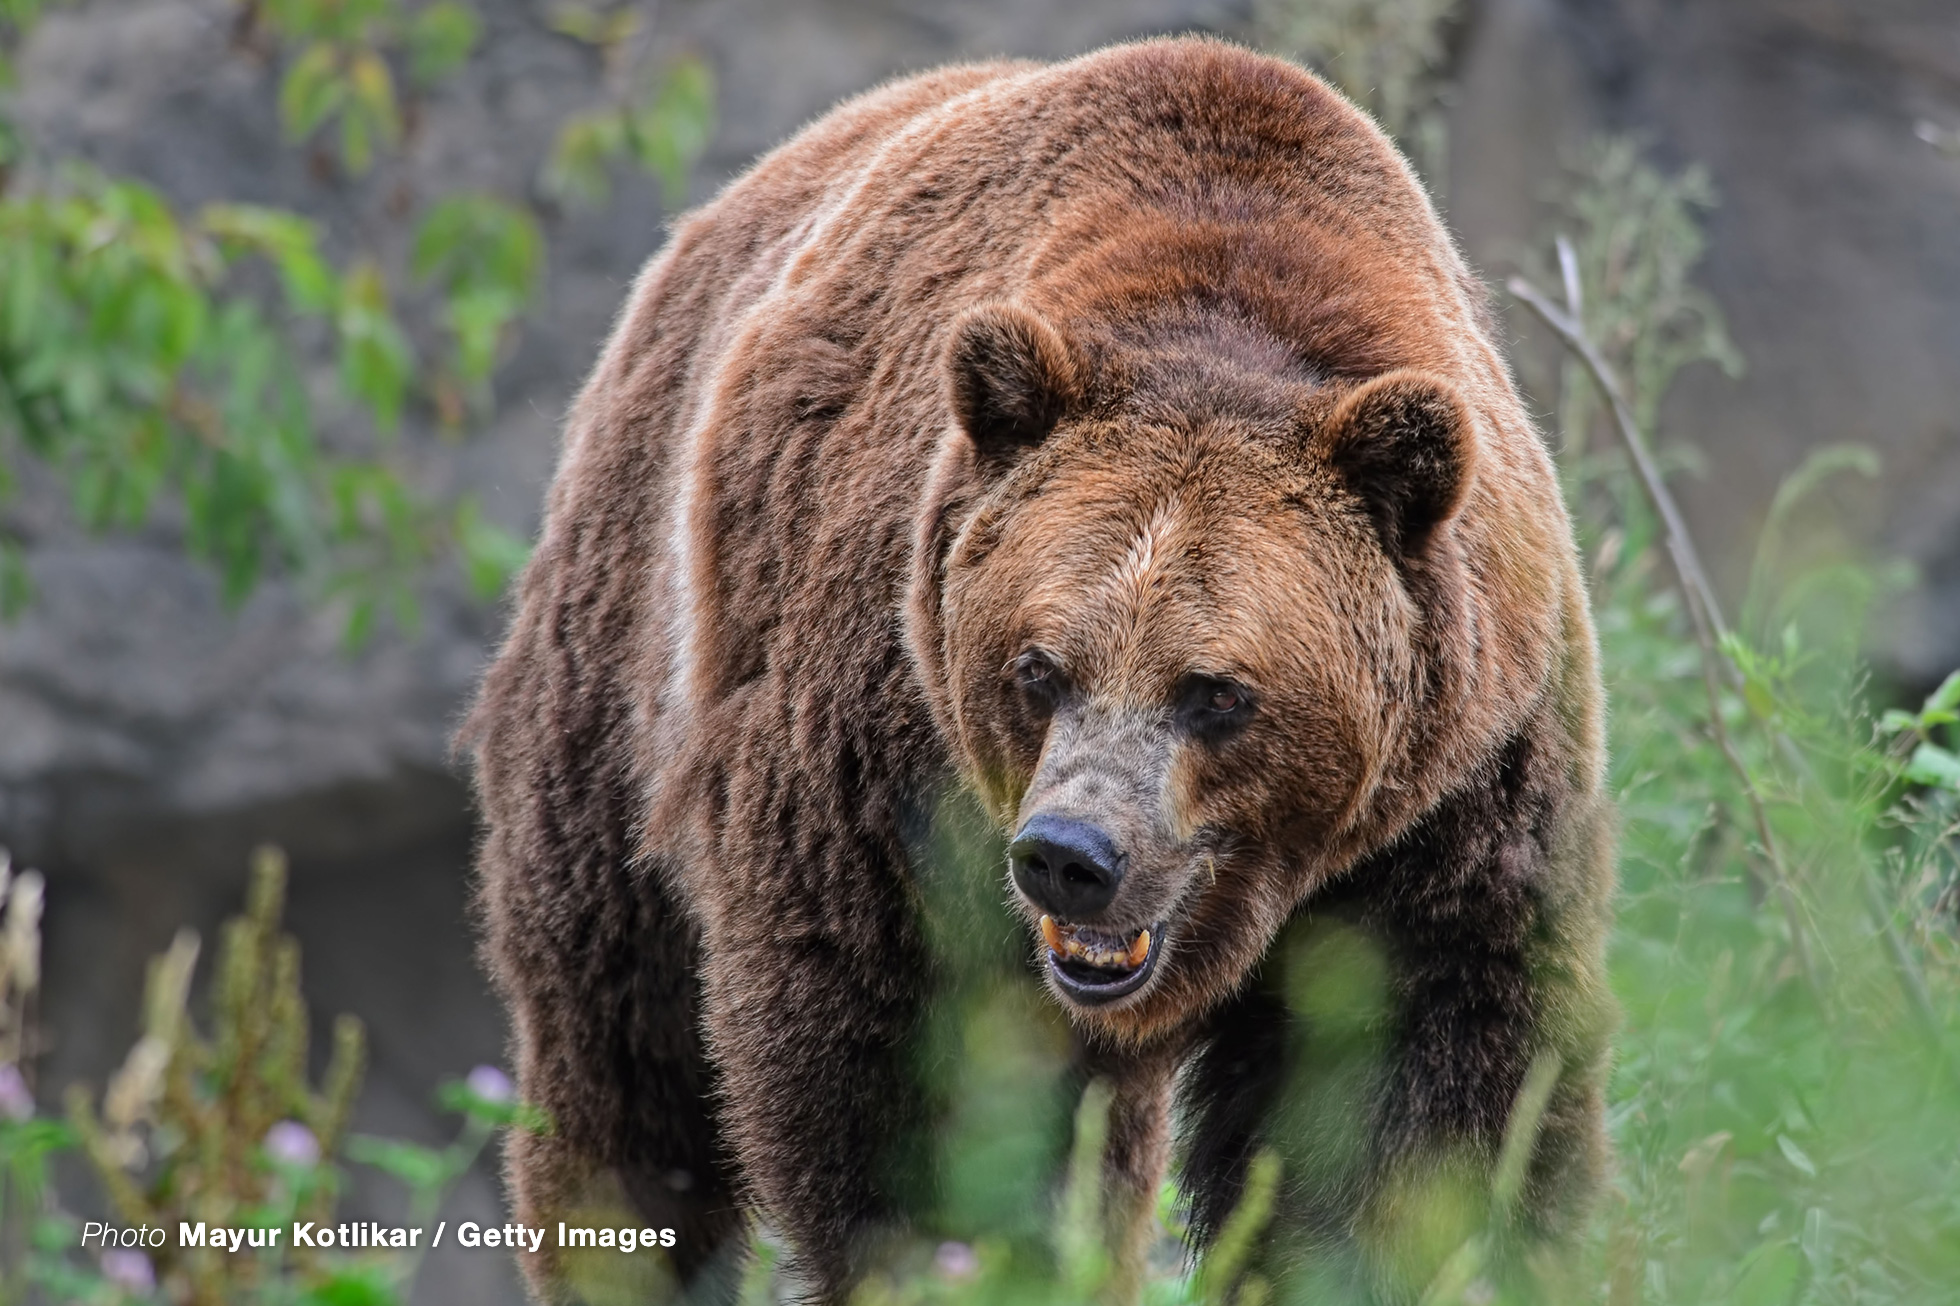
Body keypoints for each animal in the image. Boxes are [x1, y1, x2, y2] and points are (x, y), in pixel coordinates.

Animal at [466, 30, 1615, 1302]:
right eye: (1036, 666)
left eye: (1216, 692)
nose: (1072, 855)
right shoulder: (889, 751)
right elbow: (920, 1077)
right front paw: (967, 1254)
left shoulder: (1449, 802)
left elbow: (1415, 1106)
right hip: (625, 674)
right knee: (622, 1046)